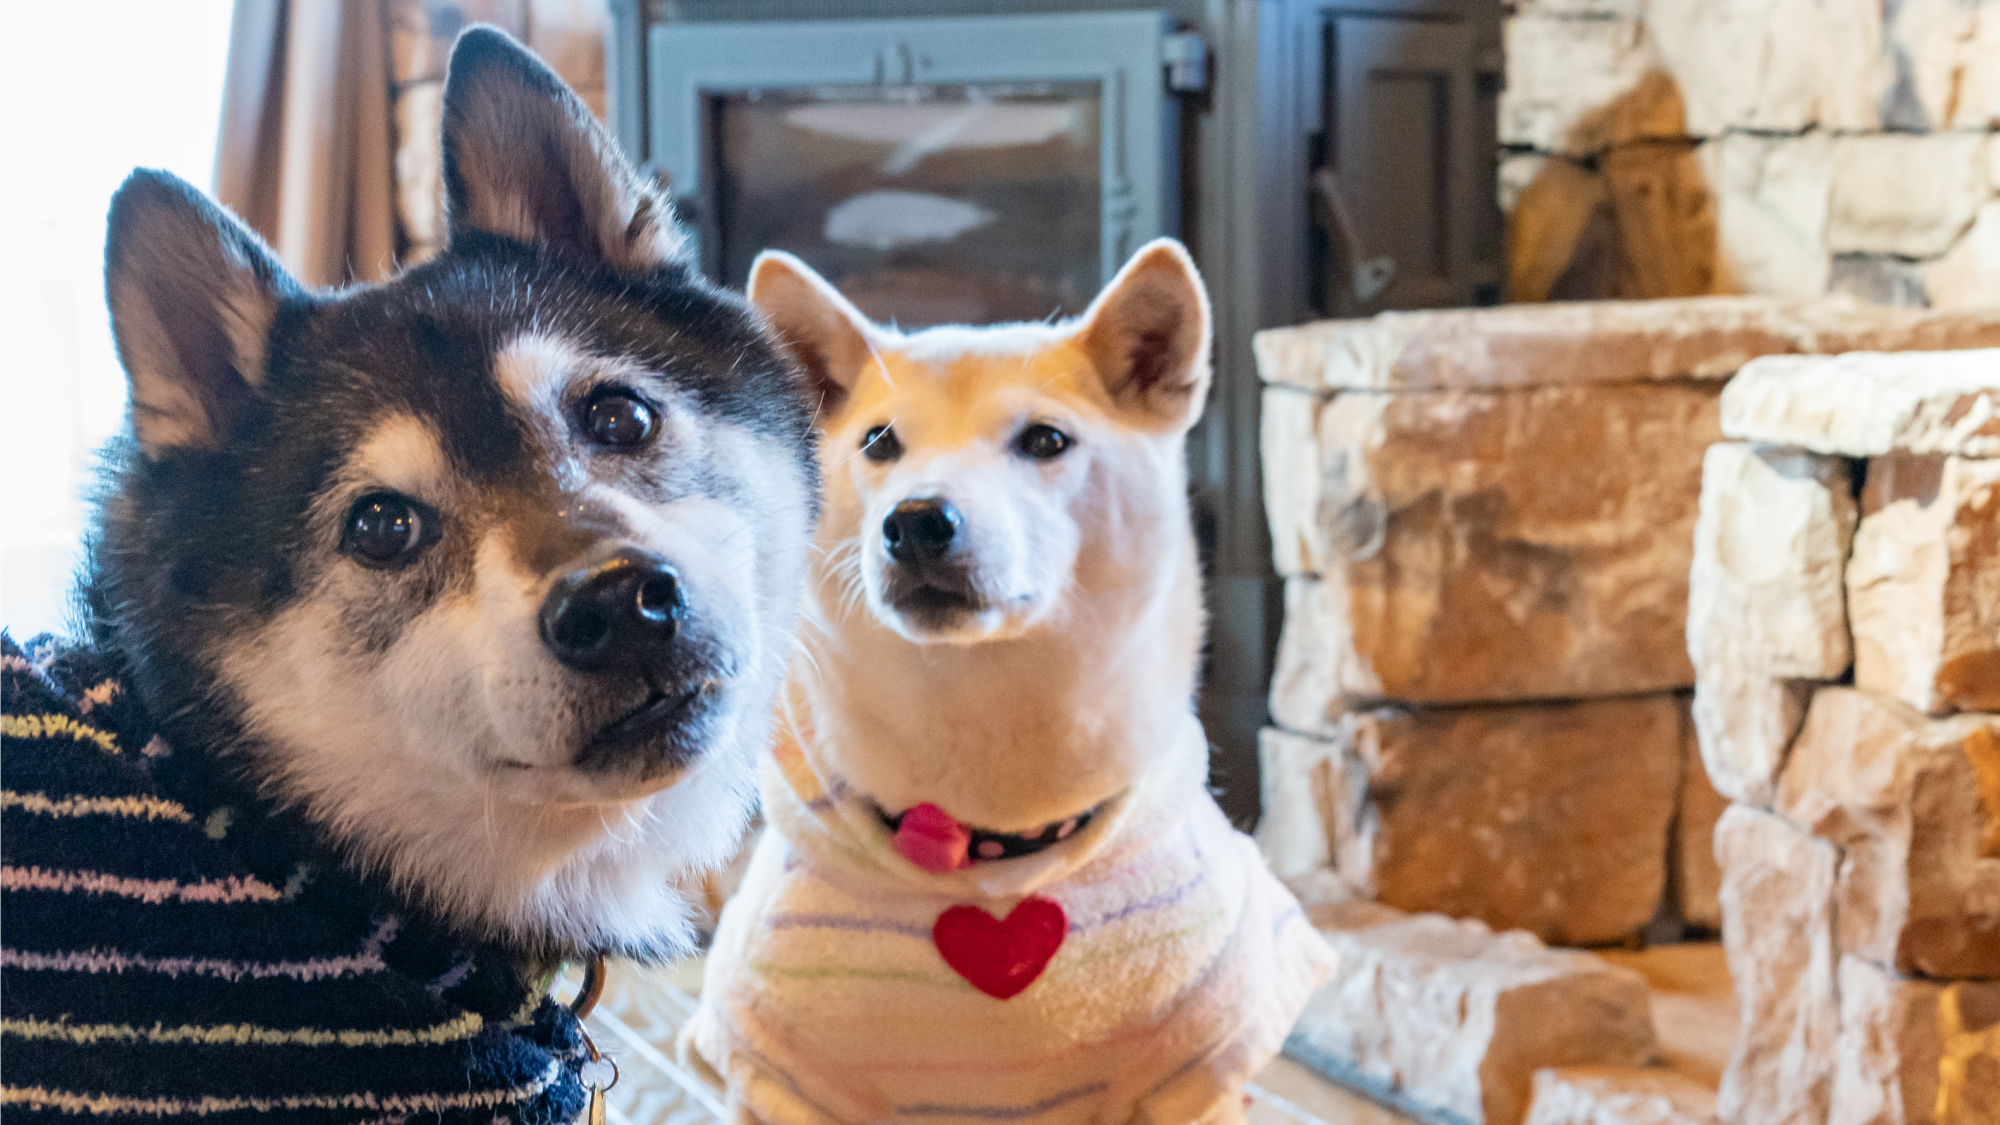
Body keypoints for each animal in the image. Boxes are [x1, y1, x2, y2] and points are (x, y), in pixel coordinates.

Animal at [684, 243, 1328, 1120]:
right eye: (880, 441)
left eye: (1046, 439)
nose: (917, 520)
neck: (990, 831)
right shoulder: (784, 1077)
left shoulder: (1197, 1060)